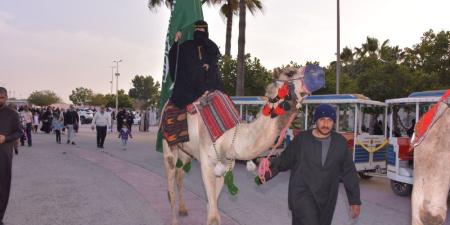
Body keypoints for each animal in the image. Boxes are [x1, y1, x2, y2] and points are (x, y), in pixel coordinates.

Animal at [163, 67, 312, 225]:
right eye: (290, 73)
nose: (315, 72)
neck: (229, 136)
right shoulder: (207, 164)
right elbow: (213, 214)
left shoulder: (225, 164)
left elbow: (212, 205)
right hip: (168, 146)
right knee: (170, 183)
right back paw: (174, 220)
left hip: (186, 152)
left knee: (179, 176)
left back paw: (183, 210)